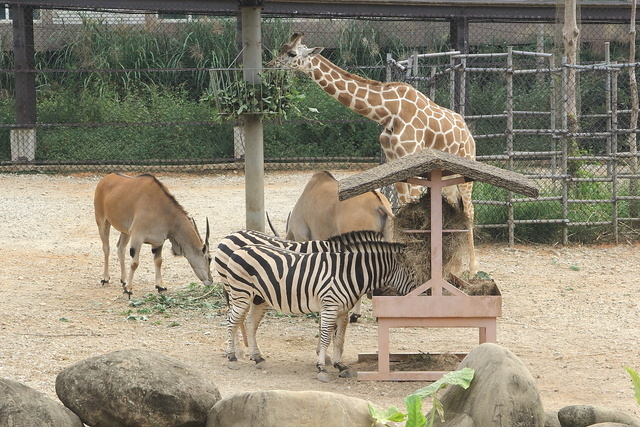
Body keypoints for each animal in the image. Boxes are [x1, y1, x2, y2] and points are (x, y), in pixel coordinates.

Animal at [225, 236, 416, 382]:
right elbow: (325, 338)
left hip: (259, 298)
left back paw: (257, 358)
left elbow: (339, 340)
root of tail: (241, 249)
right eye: (413, 274)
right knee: (231, 322)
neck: (347, 273)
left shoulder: (342, 311)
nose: (420, 292)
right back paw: (232, 357)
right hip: (241, 294)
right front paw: (322, 368)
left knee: (250, 323)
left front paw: (340, 365)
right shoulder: (330, 307)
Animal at [272, 31, 480, 276]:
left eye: (292, 53)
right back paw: (455, 267)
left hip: (467, 168)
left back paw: (473, 268)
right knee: (455, 207)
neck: (387, 112)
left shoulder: (411, 158)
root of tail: (468, 133)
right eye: (281, 48)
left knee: (470, 210)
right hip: (448, 176)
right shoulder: (394, 160)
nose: (271, 65)